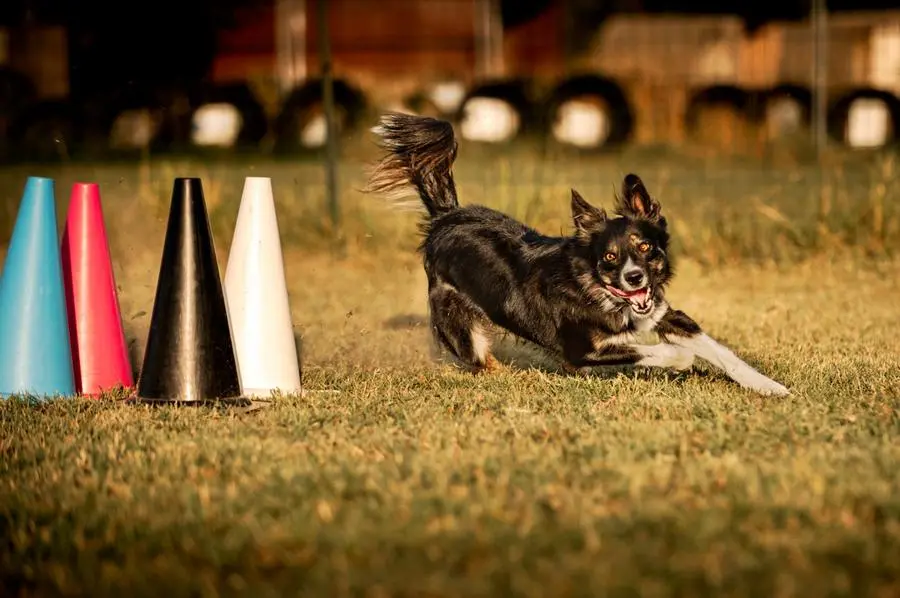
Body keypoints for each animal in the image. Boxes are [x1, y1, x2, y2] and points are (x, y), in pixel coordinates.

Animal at [366, 111, 788, 398]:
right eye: (610, 258)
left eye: (645, 247)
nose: (634, 277)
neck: (597, 289)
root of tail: (446, 217)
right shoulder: (582, 350)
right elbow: (658, 351)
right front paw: (681, 359)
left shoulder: (666, 314)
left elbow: (720, 350)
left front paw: (767, 385)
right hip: (461, 326)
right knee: (481, 361)